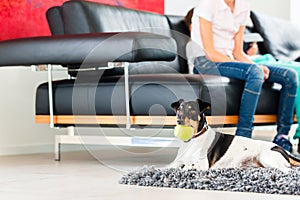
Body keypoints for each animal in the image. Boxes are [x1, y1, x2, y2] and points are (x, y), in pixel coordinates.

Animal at [170, 98, 300, 170]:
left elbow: (187, 166)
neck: (193, 140)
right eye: (179, 109)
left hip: (266, 157)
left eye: (192, 109)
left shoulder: (202, 164)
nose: (179, 120)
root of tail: (283, 151)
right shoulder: (176, 162)